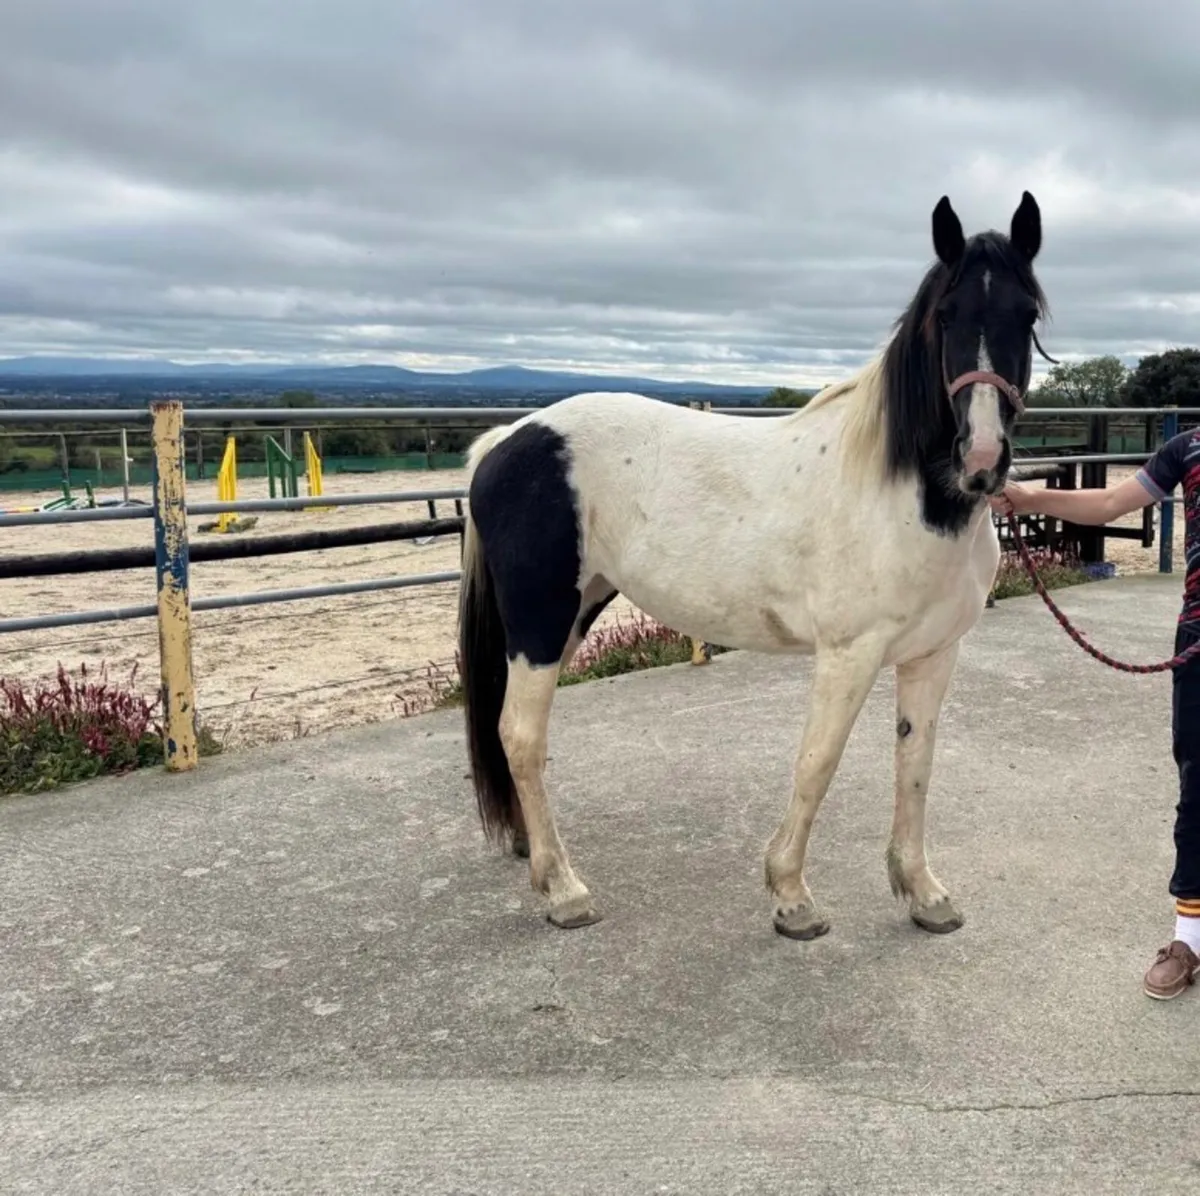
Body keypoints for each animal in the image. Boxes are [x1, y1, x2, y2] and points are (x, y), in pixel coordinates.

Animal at [456, 192, 1050, 939]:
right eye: (946, 315)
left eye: (1026, 316)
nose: (981, 459)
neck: (909, 494)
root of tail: (508, 439)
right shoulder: (848, 654)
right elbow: (817, 762)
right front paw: (791, 898)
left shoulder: (932, 653)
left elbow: (915, 764)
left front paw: (923, 893)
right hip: (539, 623)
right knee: (522, 735)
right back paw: (564, 890)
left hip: (575, 611)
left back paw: (532, 853)